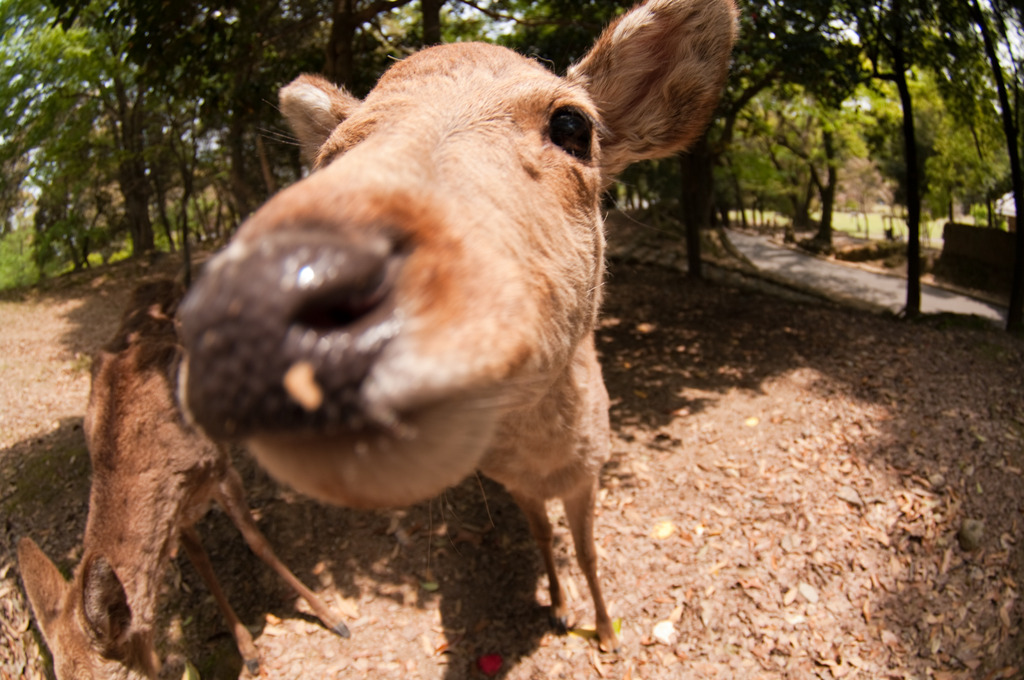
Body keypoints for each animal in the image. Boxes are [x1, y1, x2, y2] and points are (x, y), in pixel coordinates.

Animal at [17, 278, 348, 680]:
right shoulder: (177, 508)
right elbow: (203, 565)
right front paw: (248, 651)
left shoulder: (220, 469)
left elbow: (258, 543)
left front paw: (332, 617)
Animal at [176, 0, 737, 655]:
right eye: (329, 155)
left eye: (573, 125)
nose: (263, 296)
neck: (548, 464)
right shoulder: (515, 482)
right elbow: (544, 539)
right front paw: (558, 609)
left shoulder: (593, 470)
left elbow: (590, 552)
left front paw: (605, 632)